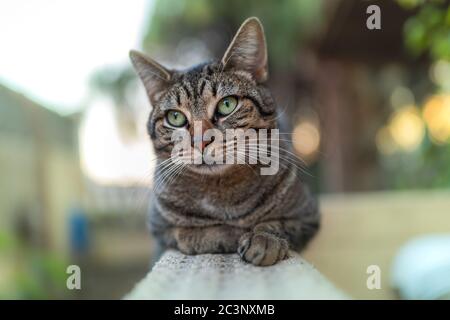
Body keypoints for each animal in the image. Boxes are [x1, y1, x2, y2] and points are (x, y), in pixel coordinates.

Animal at [129, 17, 320, 268]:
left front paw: (264, 239)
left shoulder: (307, 215)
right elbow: (192, 233)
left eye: (227, 105)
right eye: (175, 117)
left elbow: (276, 223)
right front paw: (227, 234)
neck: (221, 193)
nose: (200, 142)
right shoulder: (159, 229)